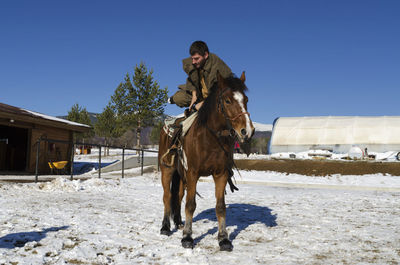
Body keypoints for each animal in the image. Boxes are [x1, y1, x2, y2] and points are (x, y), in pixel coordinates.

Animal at [159, 71, 255, 250]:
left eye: (246, 99)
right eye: (227, 100)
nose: (247, 130)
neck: (209, 138)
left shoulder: (221, 174)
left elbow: (220, 207)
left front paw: (224, 239)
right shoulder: (193, 173)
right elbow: (191, 205)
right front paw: (187, 237)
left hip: (180, 175)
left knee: (178, 195)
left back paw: (178, 222)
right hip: (167, 170)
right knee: (167, 196)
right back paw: (165, 227)